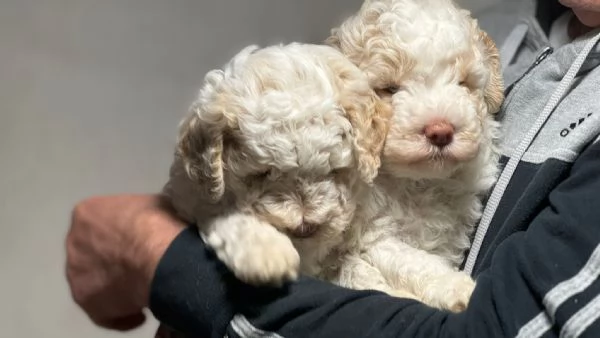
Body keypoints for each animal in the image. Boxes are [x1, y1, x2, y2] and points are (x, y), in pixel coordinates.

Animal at [163, 42, 390, 286]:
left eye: (335, 170)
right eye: (261, 174)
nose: (304, 227)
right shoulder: (194, 197)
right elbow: (227, 214)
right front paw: (267, 255)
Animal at [324, 0, 506, 312]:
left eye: (463, 83)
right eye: (389, 89)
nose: (440, 131)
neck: (418, 182)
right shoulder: (371, 237)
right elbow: (411, 261)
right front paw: (457, 289)